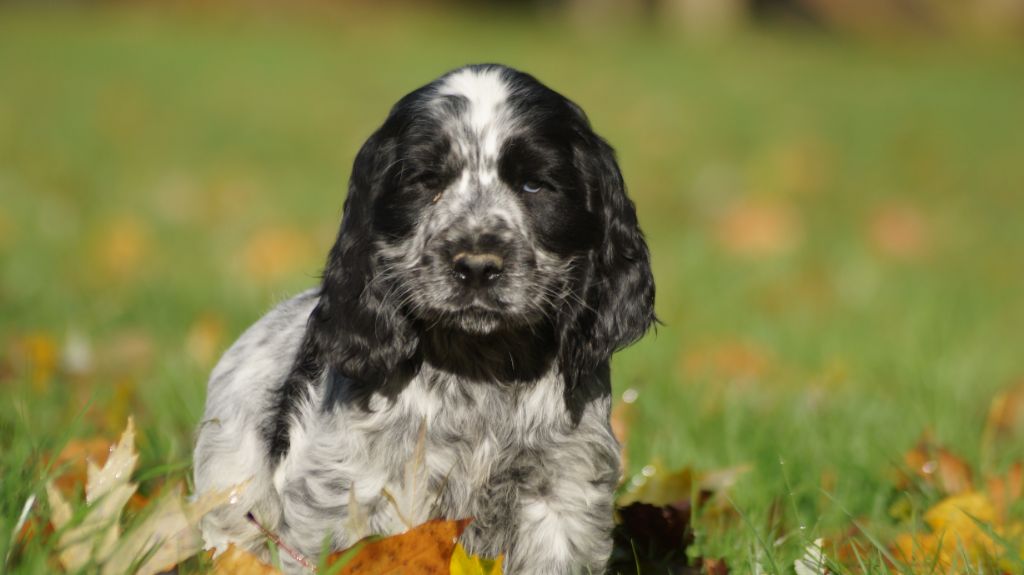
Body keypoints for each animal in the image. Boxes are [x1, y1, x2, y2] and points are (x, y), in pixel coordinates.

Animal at [192, 62, 655, 572]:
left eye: (535, 185)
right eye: (426, 182)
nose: (477, 266)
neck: (480, 368)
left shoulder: (563, 494)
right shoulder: (350, 498)